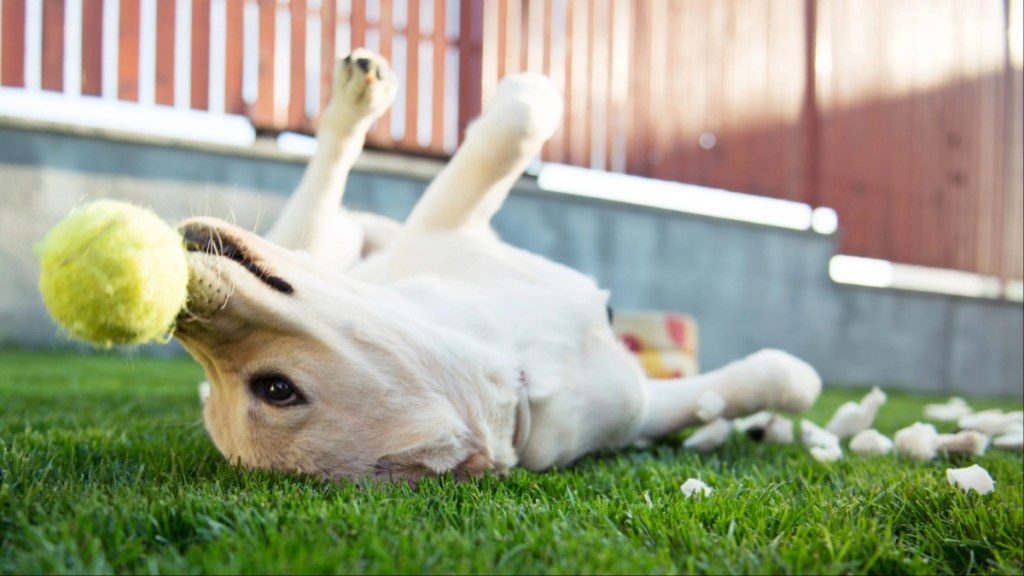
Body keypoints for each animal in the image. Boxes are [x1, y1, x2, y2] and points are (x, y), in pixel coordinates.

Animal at [174, 50, 815, 479]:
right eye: (277, 389)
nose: (176, 310)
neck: (522, 367)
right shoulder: (448, 216)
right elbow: (516, 124)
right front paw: (529, 86)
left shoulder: (631, 401)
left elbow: (765, 381)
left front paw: (787, 385)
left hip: (327, 241)